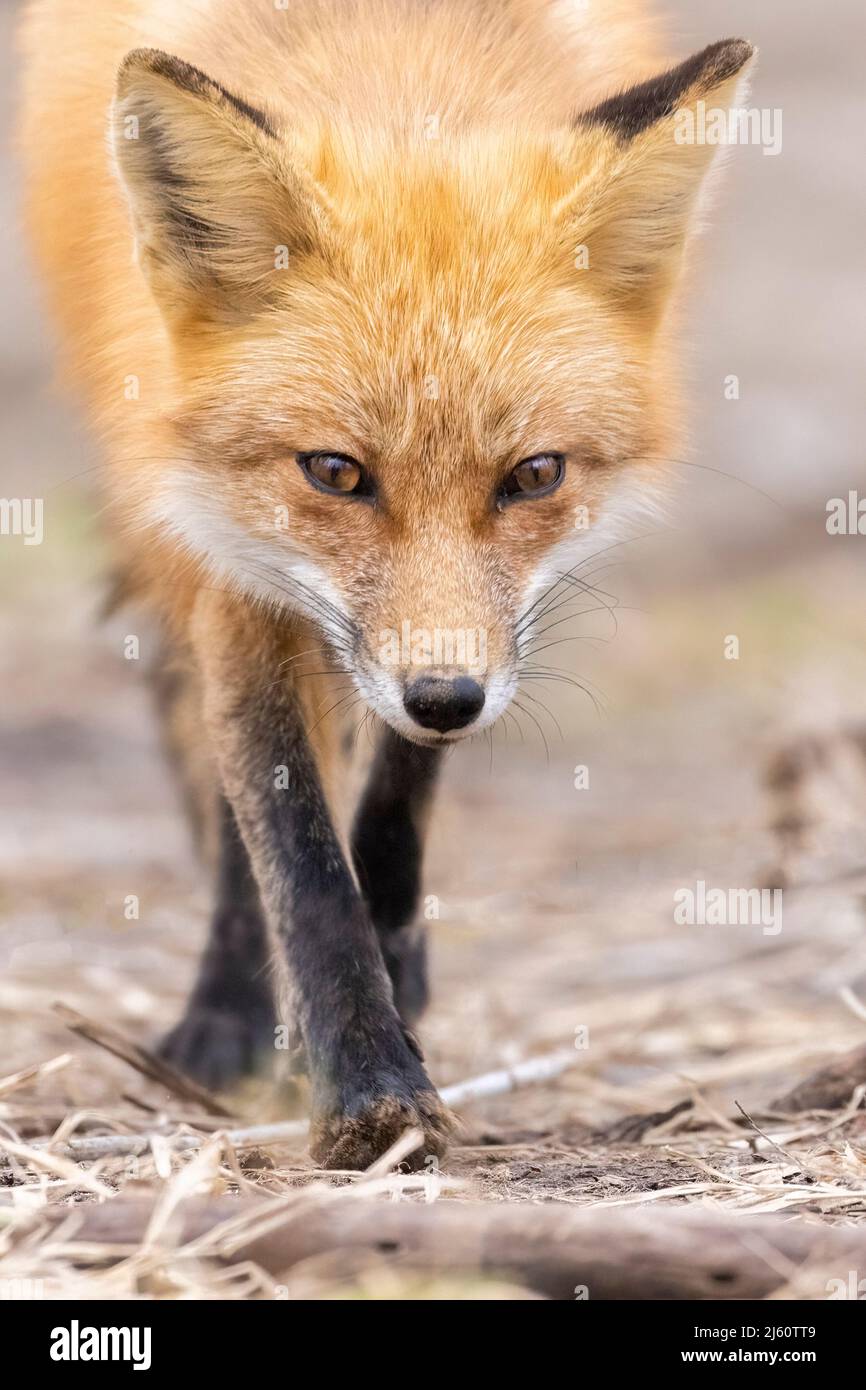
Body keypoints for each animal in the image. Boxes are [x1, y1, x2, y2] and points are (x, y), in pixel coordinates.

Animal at [18, 0, 754, 1169]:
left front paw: (393, 972)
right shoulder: (230, 557)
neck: (399, 55)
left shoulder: (465, 646)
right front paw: (369, 1091)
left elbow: (395, 804)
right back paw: (226, 1018)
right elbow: (299, 857)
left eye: (533, 475)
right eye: (334, 473)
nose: (444, 698)